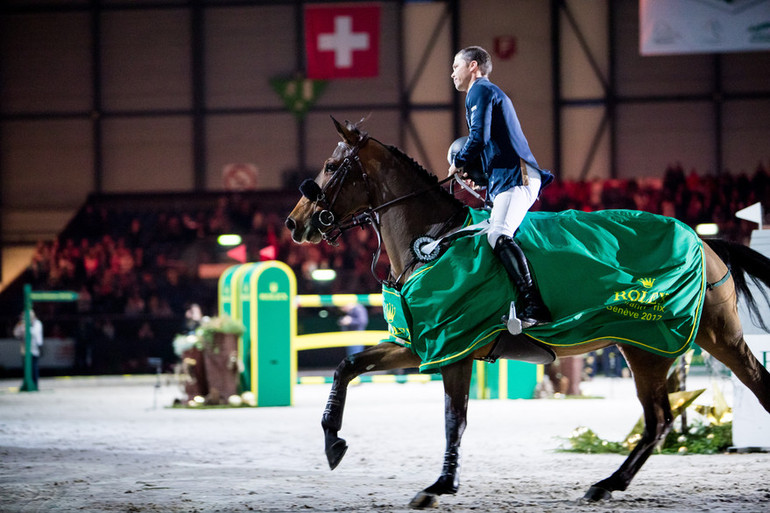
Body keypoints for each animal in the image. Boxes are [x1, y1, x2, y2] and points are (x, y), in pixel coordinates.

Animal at [282, 119, 768, 508]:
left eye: (331, 166)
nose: (293, 223)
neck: (433, 241)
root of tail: (703, 240)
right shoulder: (421, 344)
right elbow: (348, 366)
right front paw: (333, 442)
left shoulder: (454, 348)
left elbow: (454, 420)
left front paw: (439, 486)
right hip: (648, 347)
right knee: (659, 421)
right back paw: (607, 484)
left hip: (692, 340)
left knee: (727, 394)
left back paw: (609, 482)